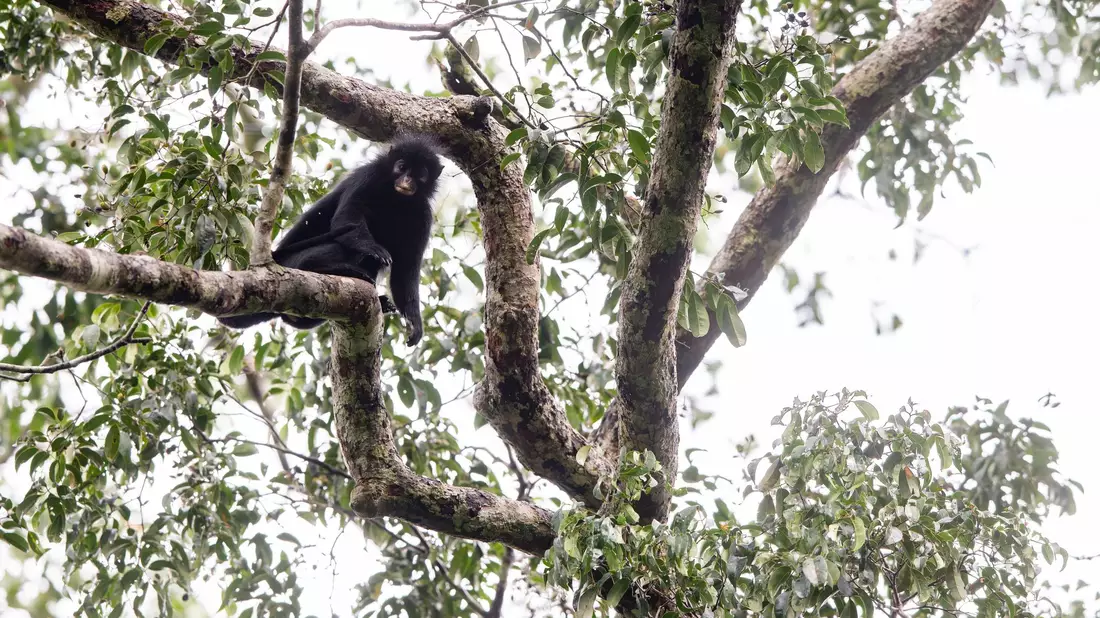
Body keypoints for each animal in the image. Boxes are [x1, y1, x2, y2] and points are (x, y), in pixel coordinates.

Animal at [218, 134, 443, 345]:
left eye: (420, 174)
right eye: (402, 167)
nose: (407, 181)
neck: (396, 198)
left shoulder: (423, 215)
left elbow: (406, 270)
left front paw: (415, 323)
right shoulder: (367, 176)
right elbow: (347, 219)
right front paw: (373, 249)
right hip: (294, 261)